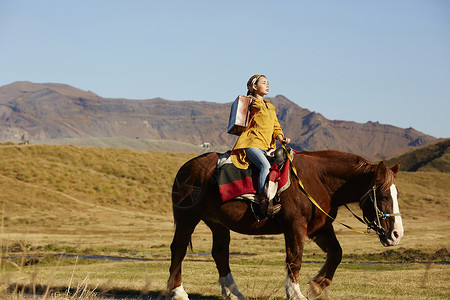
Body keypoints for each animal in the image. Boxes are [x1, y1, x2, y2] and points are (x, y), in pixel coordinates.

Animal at [166, 149, 404, 298]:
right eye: (383, 195)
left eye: (396, 193)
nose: (396, 235)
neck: (318, 181)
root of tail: (185, 168)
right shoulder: (295, 227)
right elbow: (295, 259)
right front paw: (295, 293)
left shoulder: (320, 229)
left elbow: (336, 253)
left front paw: (316, 287)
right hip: (187, 219)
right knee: (179, 249)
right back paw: (178, 292)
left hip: (218, 223)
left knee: (220, 253)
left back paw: (233, 293)